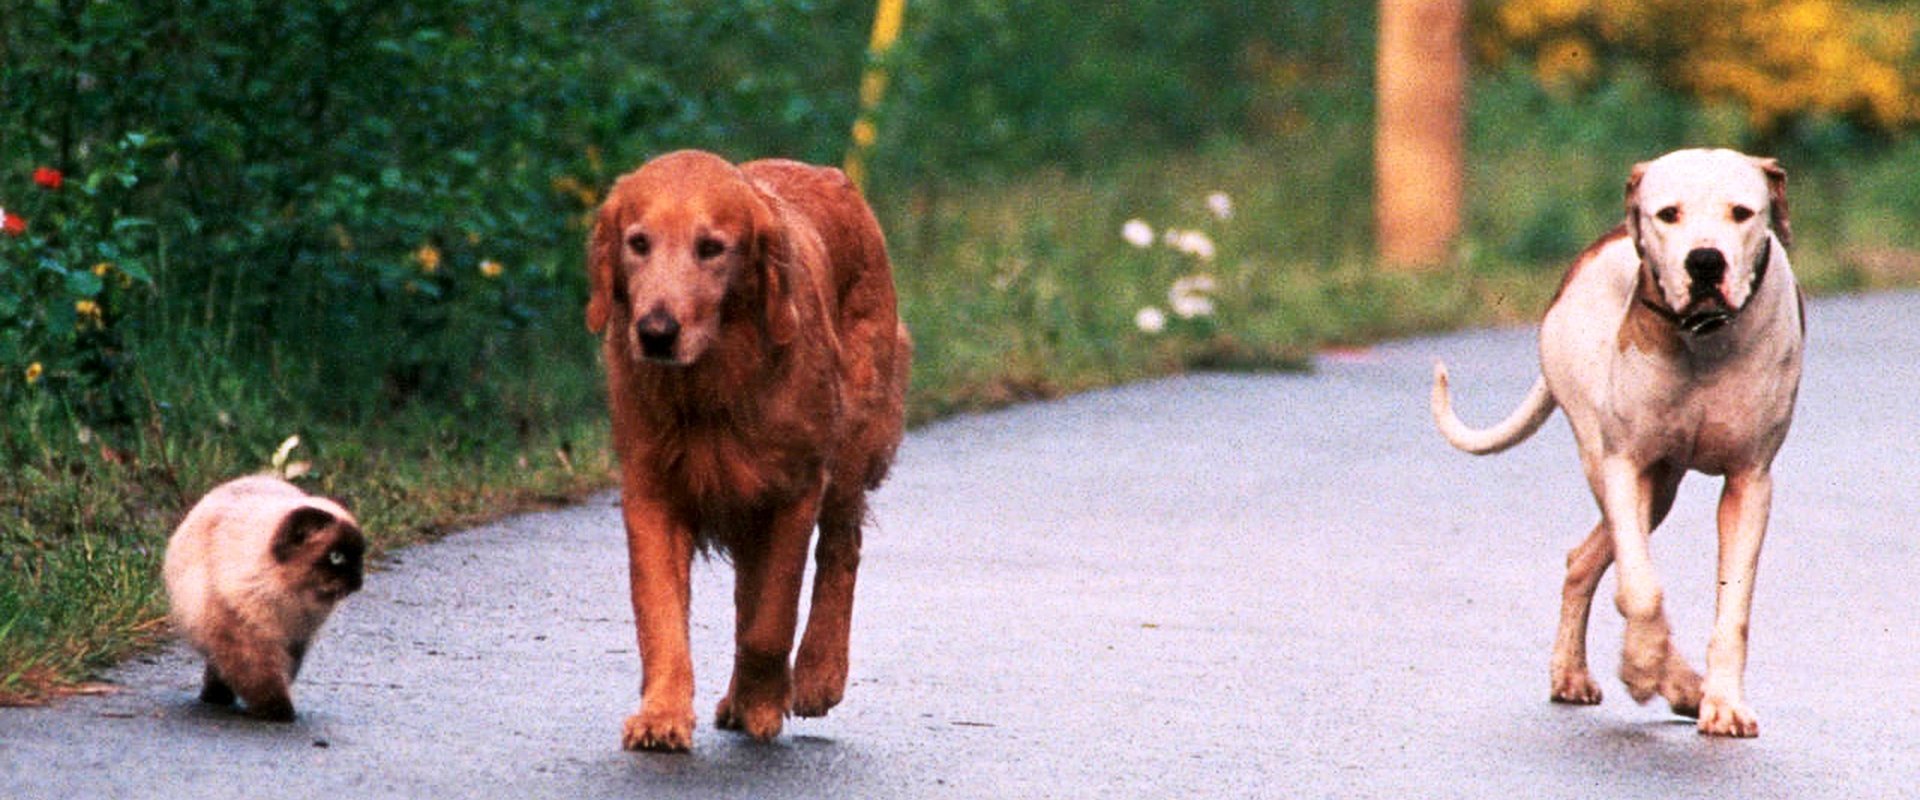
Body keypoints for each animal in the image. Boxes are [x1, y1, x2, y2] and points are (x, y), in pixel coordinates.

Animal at [163, 470, 364, 721]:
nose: (359, 581)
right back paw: (216, 697)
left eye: (360, 558)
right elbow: (260, 678)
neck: (290, 599)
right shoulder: (244, 635)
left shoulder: (296, 640)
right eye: (336, 557)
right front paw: (278, 712)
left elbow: (280, 674)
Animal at [583, 147, 906, 748]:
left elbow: (771, 619)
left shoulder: (795, 489)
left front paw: (763, 700)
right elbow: (661, 614)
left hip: (851, 445)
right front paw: (662, 713)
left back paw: (818, 674)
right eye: (638, 242)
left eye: (711, 248)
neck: (710, 386)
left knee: (840, 550)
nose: (655, 332)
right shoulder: (652, 489)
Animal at [1436, 149, 1804, 736]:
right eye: (1669, 214)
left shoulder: (1750, 482)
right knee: (1601, 559)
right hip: (1617, 467)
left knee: (1583, 561)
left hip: (1662, 489)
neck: (1702, 343)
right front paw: (1643, 664)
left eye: (1742, 213)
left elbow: (1734, 610)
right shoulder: (1626, 465)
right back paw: (1655, 676)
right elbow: (1640, 588)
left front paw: (1723, 702)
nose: (1705, 261)